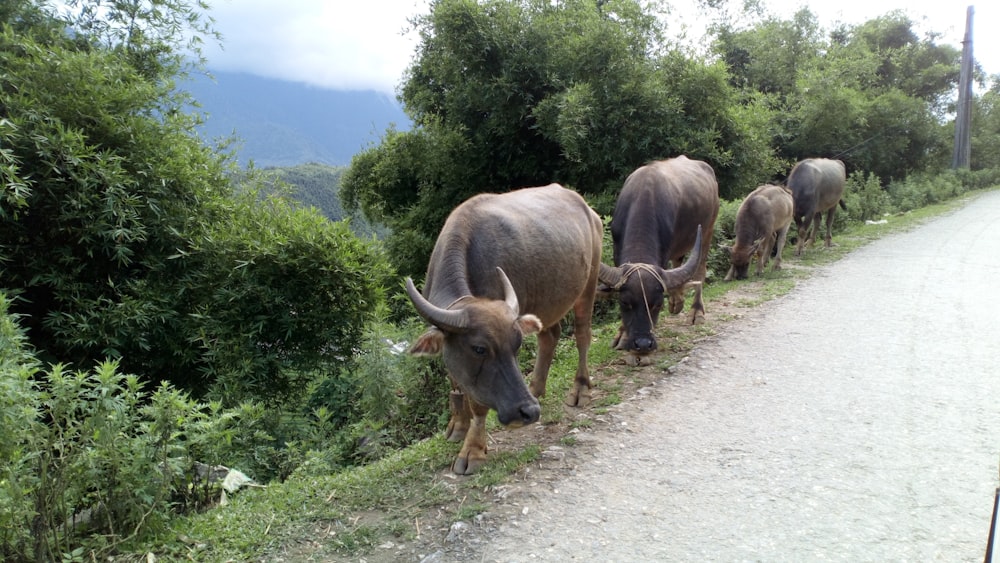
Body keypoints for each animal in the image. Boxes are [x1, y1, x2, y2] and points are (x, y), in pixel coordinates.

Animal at [406, 185, 600, 476]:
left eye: (516, 345)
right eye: (479, 349)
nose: (529, 411)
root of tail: (587, 208)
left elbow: (479, 404)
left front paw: (473, 450)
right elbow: (455, 379)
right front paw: (458, 425)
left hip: (589, 283)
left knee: (582, 334)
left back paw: (579, 389)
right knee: (549, 336)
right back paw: (536, 388)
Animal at [592, 155, 720, 356]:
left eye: (658, 304)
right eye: (625, 303)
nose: (643, 344)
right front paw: (622, 335)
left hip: (708, 230)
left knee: (700, 271)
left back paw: (696, 312)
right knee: (679, 264)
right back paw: (677, 302)